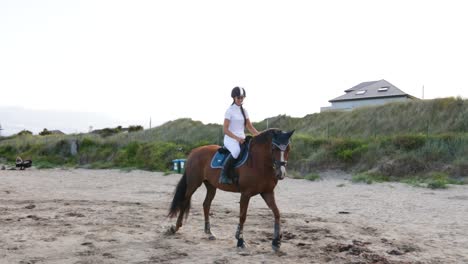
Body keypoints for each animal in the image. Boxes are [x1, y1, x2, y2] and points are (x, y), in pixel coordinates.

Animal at [166, 129, 294, 251]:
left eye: (288, 148)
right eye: (273, 148)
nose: (281, 174)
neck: (260, 163)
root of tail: (194, 152)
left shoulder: (267, 192)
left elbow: (277, 213)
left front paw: (276, 242)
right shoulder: (246, 194)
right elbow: (243, 216)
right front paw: (240, 241)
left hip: (211, 186)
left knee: (206, 204)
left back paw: (209, 232)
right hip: (193, 184)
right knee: (184, 202)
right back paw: (175, 228)